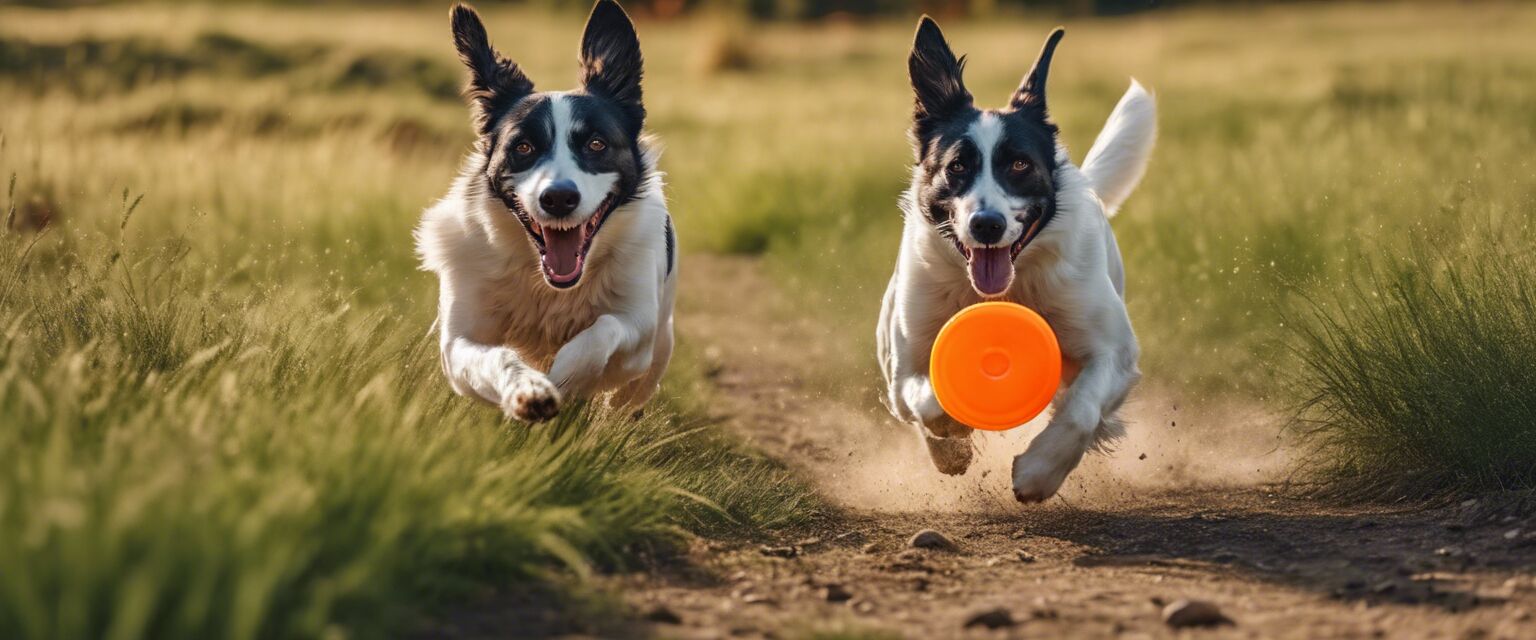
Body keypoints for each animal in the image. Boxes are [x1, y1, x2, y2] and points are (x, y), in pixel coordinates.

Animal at [414, 2, 672, 420]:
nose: (559, 198)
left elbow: (603, 330)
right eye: (523, 147)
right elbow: (495, 357)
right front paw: (530, 389)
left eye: (597, 144)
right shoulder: (457, 344)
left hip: (658, 348)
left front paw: (564, 377)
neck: (546, 285)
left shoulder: (638, 324)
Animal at [878, 17, 1155, 500]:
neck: (1006, 290)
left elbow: (1081, 410)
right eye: (957, 166)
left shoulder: (1116, 353)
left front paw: (1038, 473)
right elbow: (926, 400)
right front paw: (952, 436)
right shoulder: (904, 362)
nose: (986, 225)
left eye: (1020, 165)